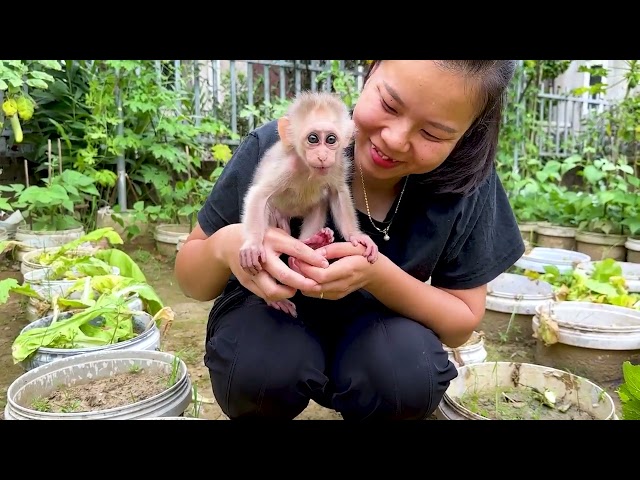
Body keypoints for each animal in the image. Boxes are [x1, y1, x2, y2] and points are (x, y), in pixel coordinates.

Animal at [240, 91, 380, 316]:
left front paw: (356, 236)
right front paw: (252, 245)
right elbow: (259, 195)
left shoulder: (337, 164)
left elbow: (338, 194)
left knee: (319, 204)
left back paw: (311, 243)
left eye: (331, 139)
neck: (308, 168)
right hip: (277, 214)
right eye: (313, 139)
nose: (322, 156)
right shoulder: (286, 166)